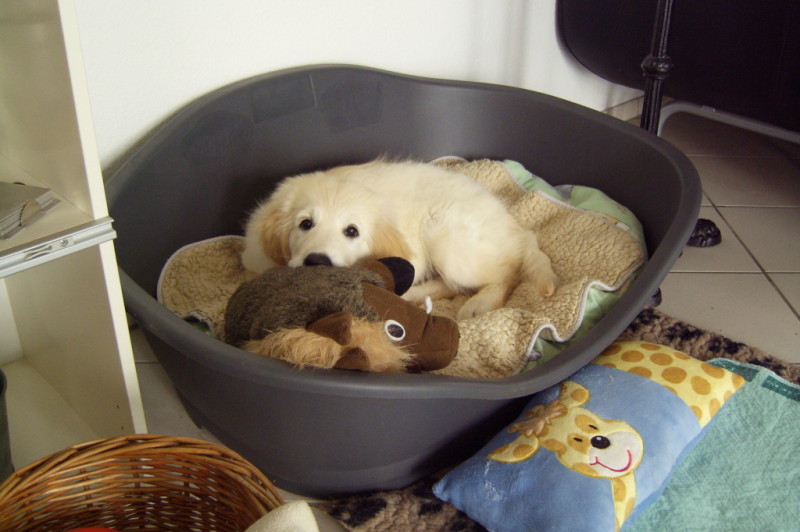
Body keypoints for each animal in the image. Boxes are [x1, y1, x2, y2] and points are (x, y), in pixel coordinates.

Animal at [241, 160, 558, 320]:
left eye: (352, 231)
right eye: (305, 224)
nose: (317, 261)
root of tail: (519, 231)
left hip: (445, 233)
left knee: (506, 276)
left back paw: (477, 305)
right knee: (450, 286)